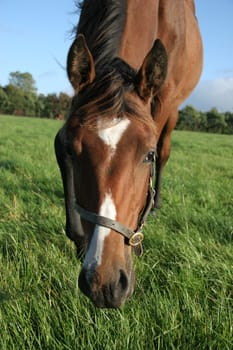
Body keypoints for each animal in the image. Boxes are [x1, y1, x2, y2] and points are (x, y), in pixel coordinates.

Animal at [55, 0, 202, 308]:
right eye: (74, 151)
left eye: (147, 156)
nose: (104, 285)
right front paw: (79, 240)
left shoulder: (163, 100)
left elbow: (160, 151)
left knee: (167, 149)